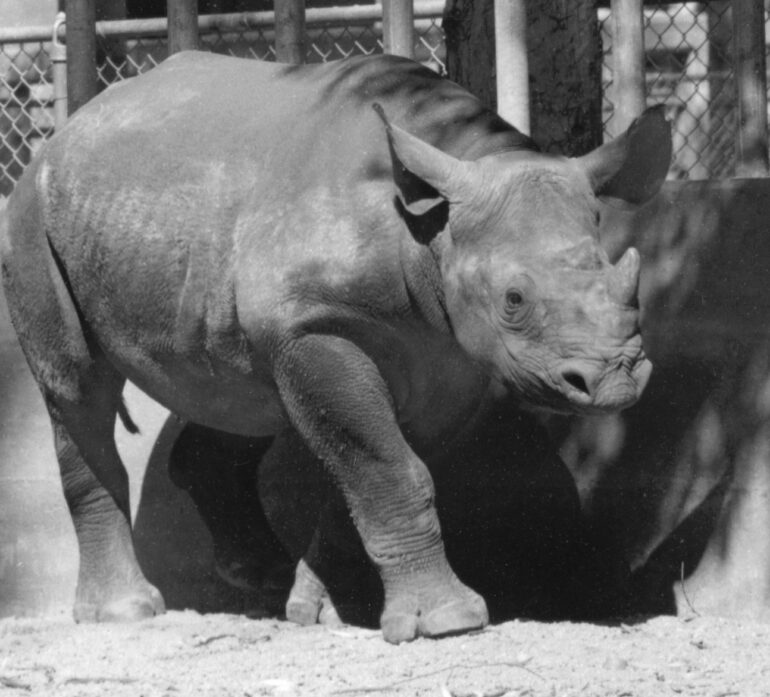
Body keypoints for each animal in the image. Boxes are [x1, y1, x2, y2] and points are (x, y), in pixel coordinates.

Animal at [1, 51, 670, 643]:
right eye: (513, 299)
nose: (613, 379)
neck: (431, 229)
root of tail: (69, 129)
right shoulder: (316, 324)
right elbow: (387, 467)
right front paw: (447, 622)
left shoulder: (445, 361)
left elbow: (372, 472)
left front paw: (319, 610)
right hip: (31, 216)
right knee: (78, 388)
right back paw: (125, 612)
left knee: (232, 389)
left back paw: (263, 583)